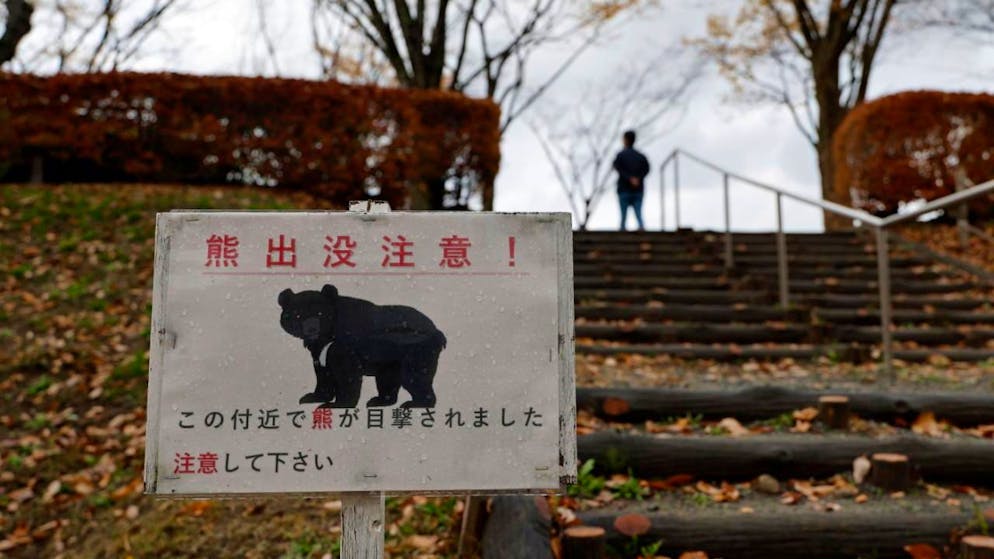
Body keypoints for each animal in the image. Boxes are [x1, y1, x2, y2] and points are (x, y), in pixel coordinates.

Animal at [277, 284, 446, 408]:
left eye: (320, 313)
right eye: (297, 315)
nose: (312, 329)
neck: (328, 334)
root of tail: (437, 331)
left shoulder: (345, 344)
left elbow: (347, 373)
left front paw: (337, 404)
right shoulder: (320, 349)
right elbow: (323, 372)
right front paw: (311, 397)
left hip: (416, 350)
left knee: (415, 376)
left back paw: (415, 403)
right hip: (391, 358)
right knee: (388, 377)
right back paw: (379, 401)